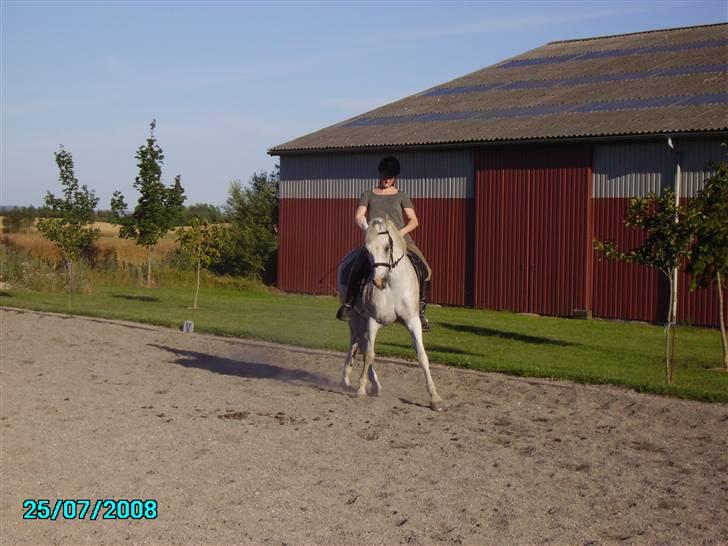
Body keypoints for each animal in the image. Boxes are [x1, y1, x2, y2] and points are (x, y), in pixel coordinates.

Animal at [336, 215, 444, 410]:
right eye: (368, 250)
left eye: (387, 247)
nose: (378, 281)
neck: (392, 284)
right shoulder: (373, 320)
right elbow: (370, 354)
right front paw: (361, 388)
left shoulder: (413, 320)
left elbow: (422, 356)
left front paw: (434, 398)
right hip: (355, 316)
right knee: (360, 344)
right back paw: (367, 383)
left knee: (357, 343)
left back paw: (351, 380)